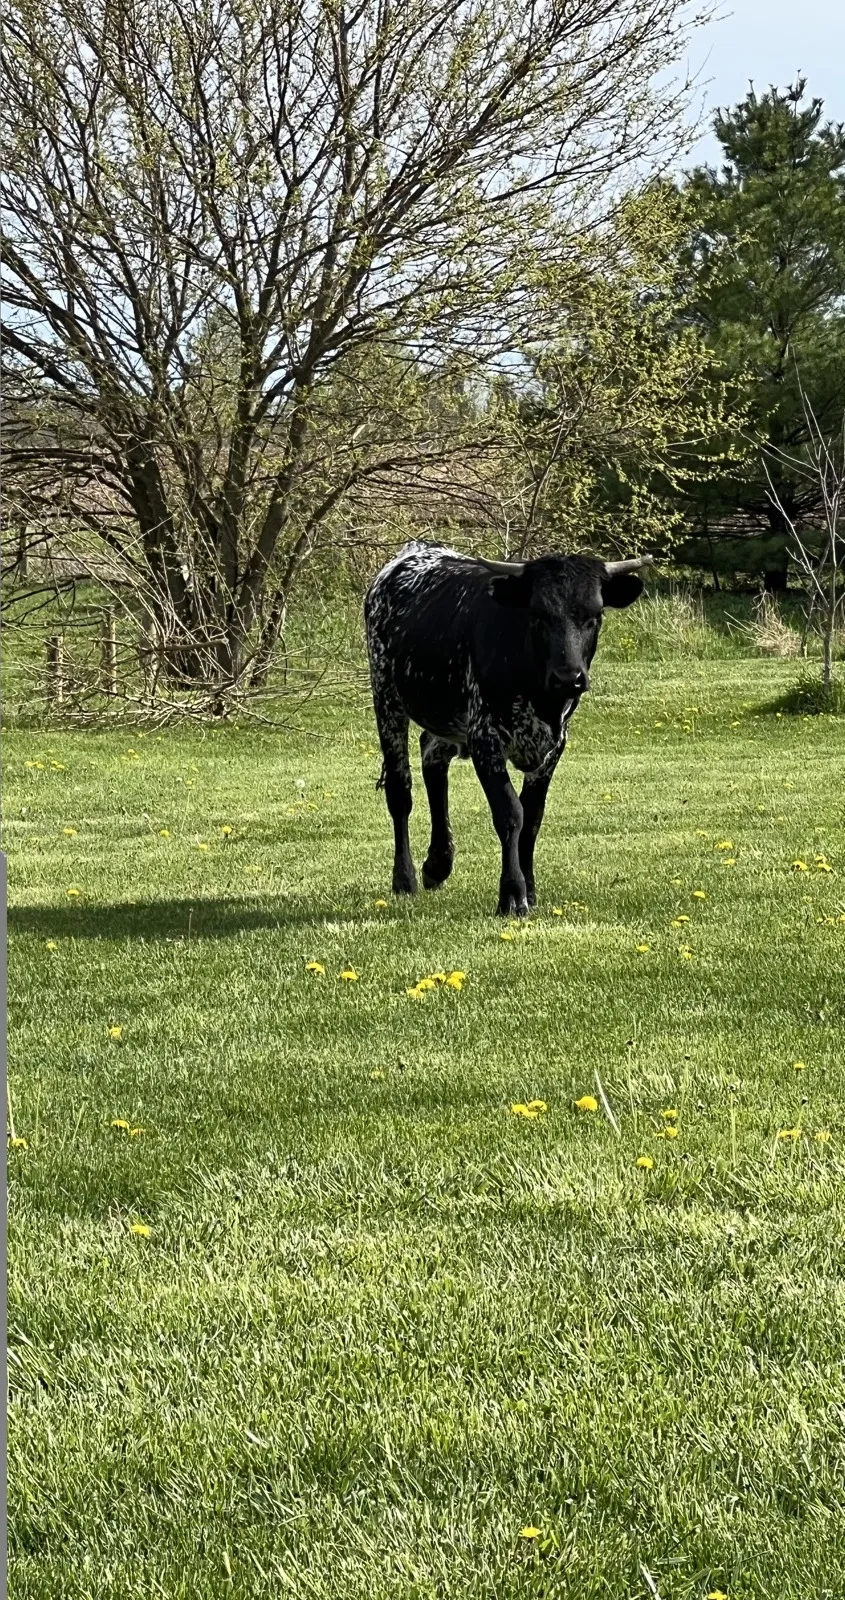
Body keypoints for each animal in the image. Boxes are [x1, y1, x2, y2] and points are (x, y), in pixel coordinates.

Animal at [364, 539, 653, 916]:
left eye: (595, 615)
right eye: (538, 614)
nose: (569, 678)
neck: (538, 691)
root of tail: (415, 550)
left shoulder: (554, 744)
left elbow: (532, 817)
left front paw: (530, 890)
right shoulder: (484, 738)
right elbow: (510, 813)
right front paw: (512, 895)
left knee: (432, 757)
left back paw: (438, 863)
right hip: (387, 697)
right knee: (400, 791)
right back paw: (405, 879)